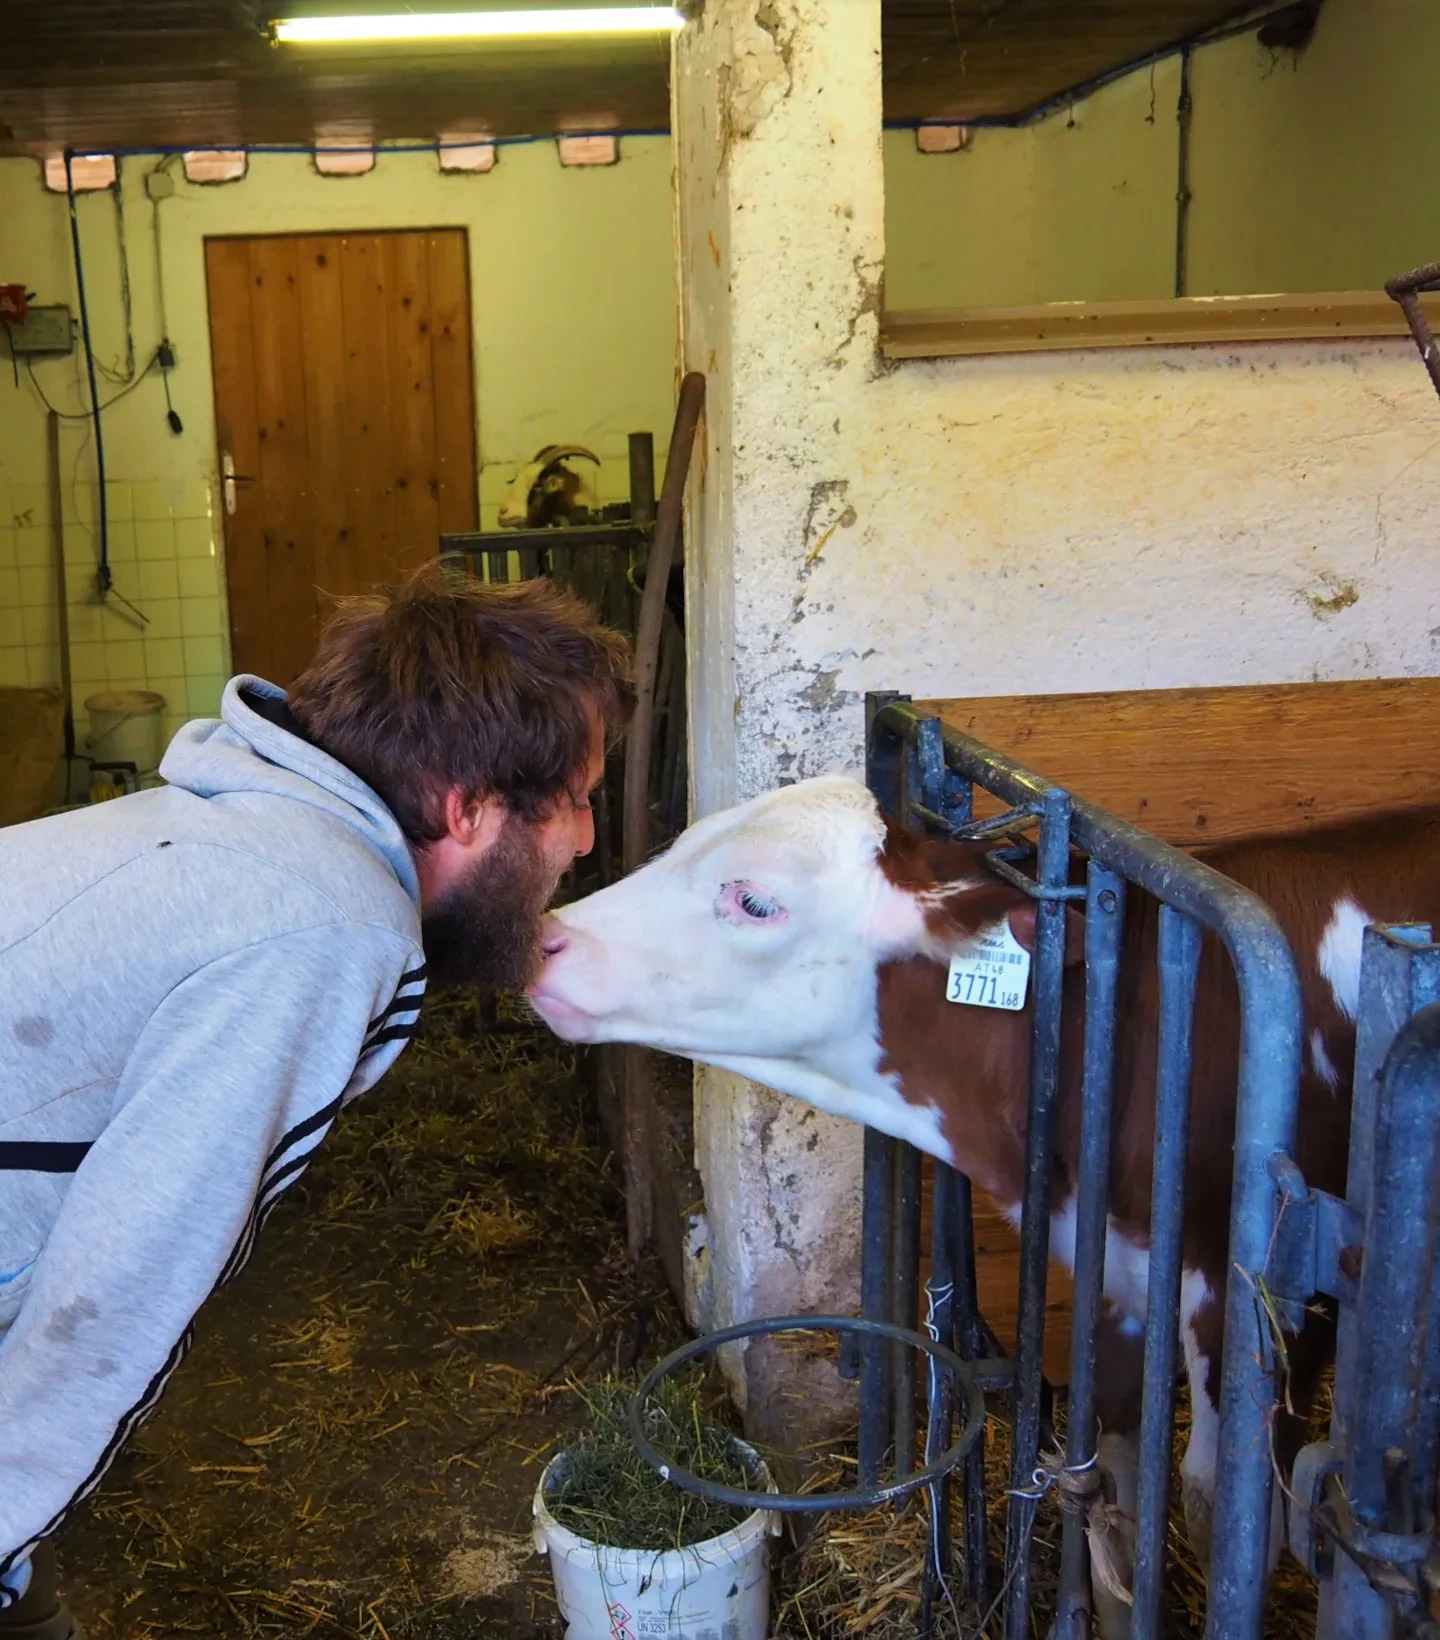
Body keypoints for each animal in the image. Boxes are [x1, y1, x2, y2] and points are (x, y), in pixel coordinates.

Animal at [531, 777, 1440, 1626]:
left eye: (755, 900)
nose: (546, 939)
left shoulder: (1281, 1309)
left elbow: (1218, 1509)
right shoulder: (1112, 1265)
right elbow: (1112, 1491)